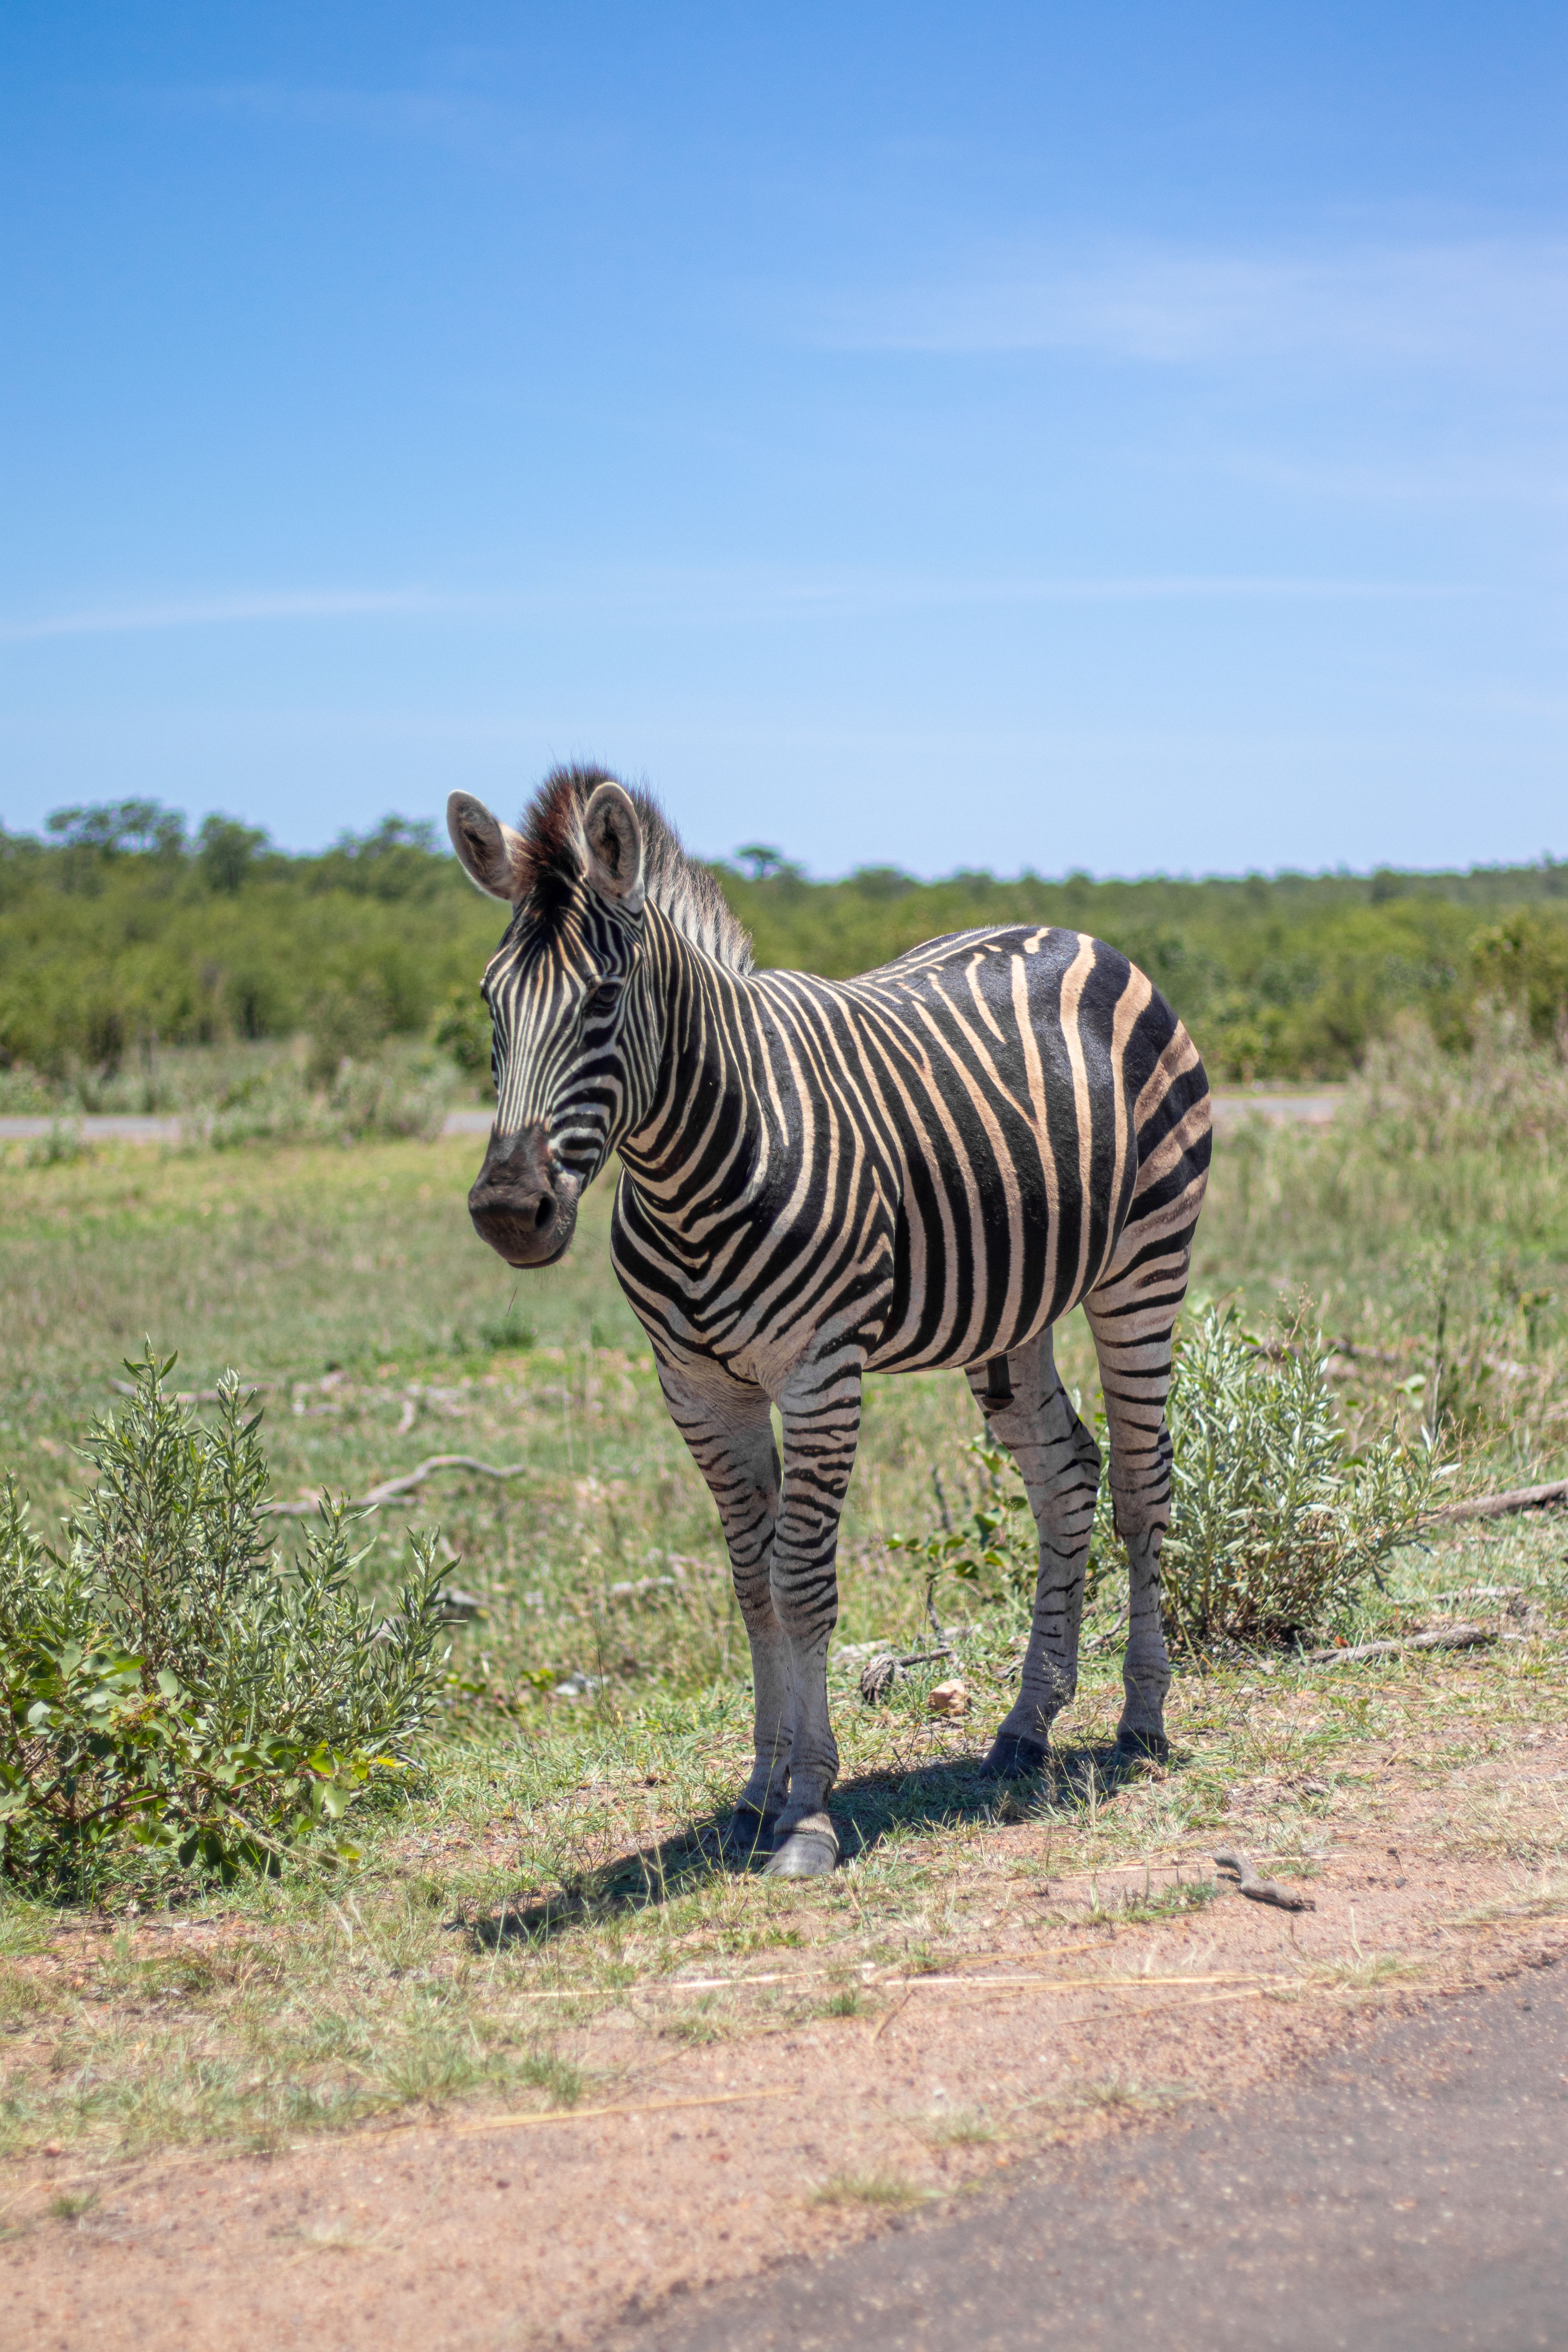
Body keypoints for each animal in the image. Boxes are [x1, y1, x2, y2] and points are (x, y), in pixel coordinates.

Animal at [449, 765, 1212, 1878]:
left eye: (603, 998)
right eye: (489, 1000)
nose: (509, 1212)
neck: (693, 1163)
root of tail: (1073, 933)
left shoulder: (820, 1370)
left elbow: (802, 1578)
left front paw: (807, 1809)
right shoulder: (696, 1389)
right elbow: (750, 1583)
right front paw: (753, 1796)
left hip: (1143, 1264)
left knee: (1139, 1482)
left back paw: (1141, 1720)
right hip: (1011, 1309)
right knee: (1064, 1479)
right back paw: (1027, 1725)